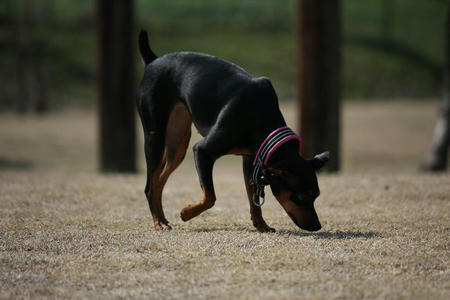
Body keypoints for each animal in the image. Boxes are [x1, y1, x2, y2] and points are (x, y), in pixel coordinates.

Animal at [135, 30, 328, 232]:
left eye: (316, 196)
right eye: (299, 197)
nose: (317, 226)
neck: (261, 114)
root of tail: (153, 61)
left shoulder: (252, 160)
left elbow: (253, 197)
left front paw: (261, 225)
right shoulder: (202, 151)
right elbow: (210, 197)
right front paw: (186, 213)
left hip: (178, 143)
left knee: (159, 180)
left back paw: (163, 219)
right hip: (155, 137)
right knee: (150, 185)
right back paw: (158, 222)